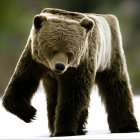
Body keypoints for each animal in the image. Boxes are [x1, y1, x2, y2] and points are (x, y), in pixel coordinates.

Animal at [2, 8, 139, 136]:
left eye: (69, 53)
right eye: (53, 50)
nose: (59, 66)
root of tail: (110, 16)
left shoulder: (80, 64)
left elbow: (73, 96)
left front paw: (64, 130)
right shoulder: (33, 59)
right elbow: (22, 82)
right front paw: (30, 114)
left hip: (110, 56)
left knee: (116, 88)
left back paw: (127, 127)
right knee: (54, 97)